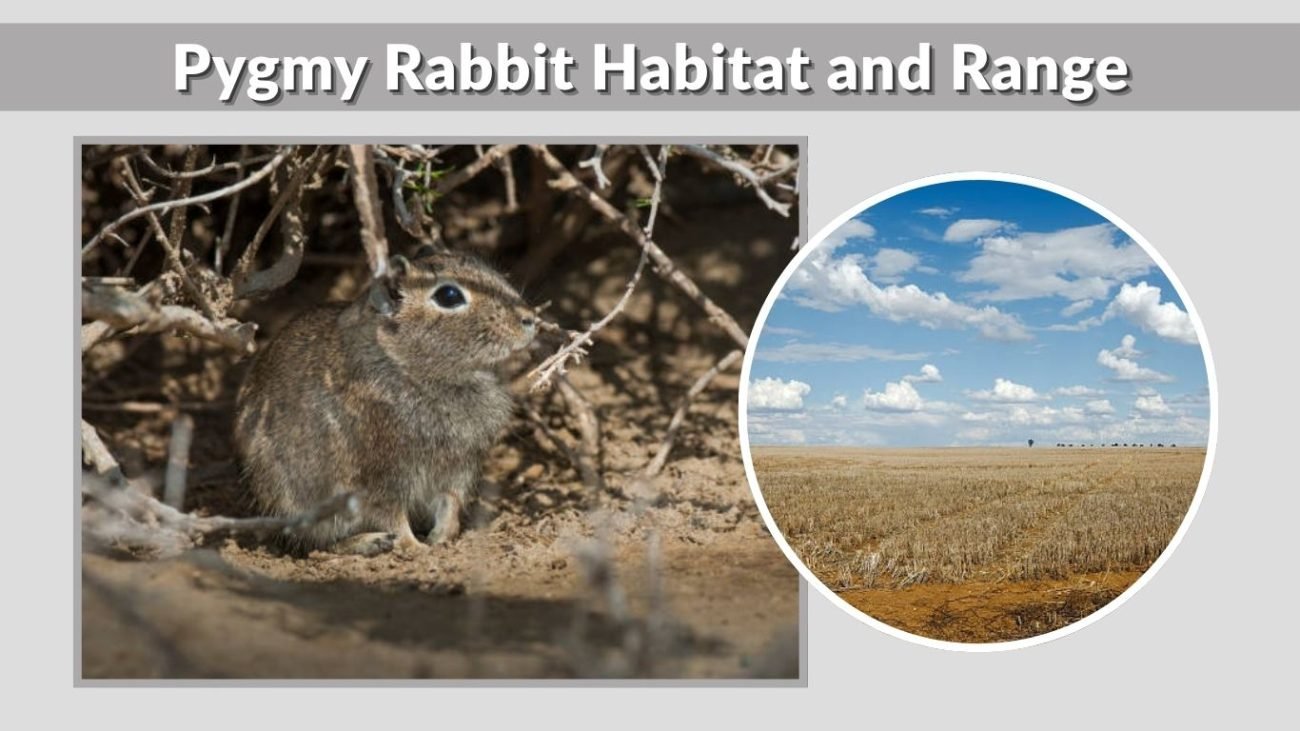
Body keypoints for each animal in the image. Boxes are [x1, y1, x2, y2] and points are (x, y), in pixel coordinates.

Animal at [233, 246, 537, 555]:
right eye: (449, 296)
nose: (529, 320)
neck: (406, 364)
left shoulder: (457, 470)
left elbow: (449, 501)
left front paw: (442, 538)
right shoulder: (379, 479)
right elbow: (392, 517)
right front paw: (415, 548)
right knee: (320, 544)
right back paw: (372, 542)